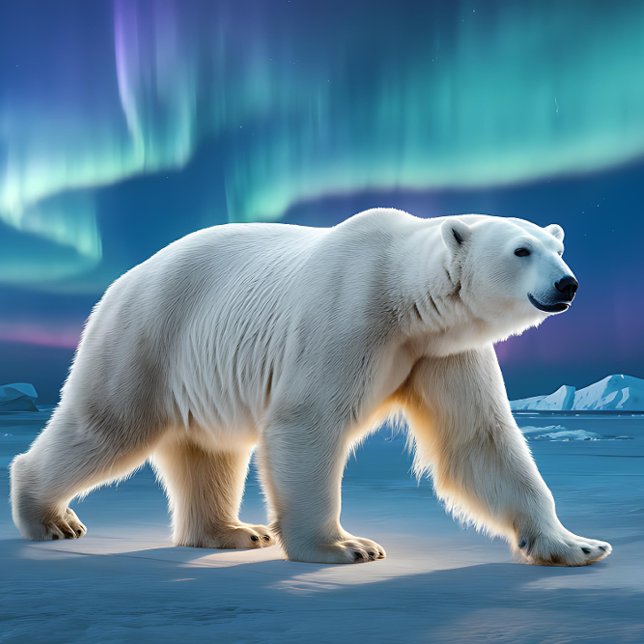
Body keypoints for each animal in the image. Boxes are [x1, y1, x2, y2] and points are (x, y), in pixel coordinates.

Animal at [10, 208, 612, 566]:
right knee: (106, 426)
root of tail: (121, 283)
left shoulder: (441, 351)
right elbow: (309, 421)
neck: (406, 297)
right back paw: (50, 517)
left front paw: (579, 544)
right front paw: (345, 545)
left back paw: (235, 531)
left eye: (557, 248)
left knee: (208, 448)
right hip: (147, 339)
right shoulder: (348, 318)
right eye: (521, 251)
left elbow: (479, 440)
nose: (568, 283)